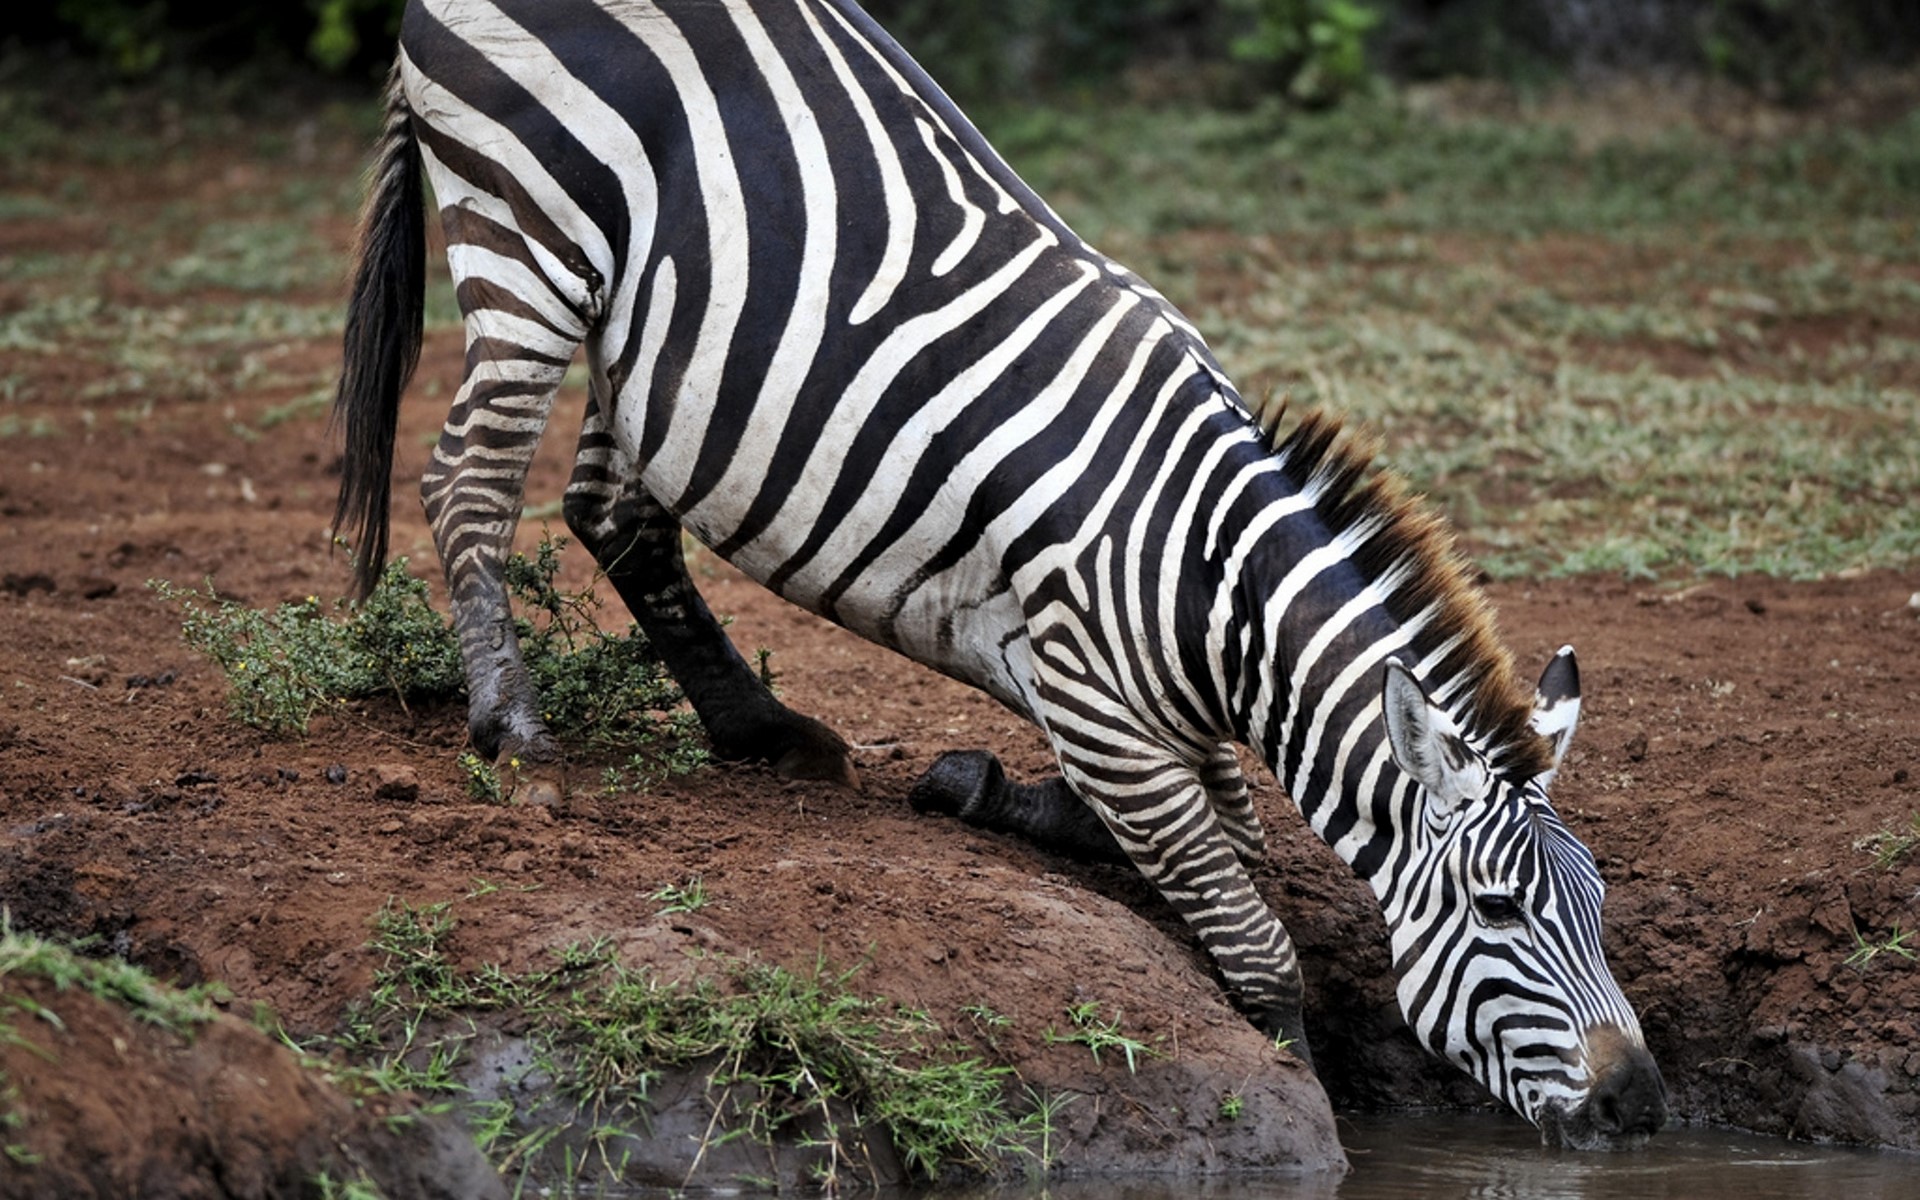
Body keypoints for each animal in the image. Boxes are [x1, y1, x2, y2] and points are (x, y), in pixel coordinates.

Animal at [332, 0, 1667, 1148]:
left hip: (641, 325)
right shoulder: (1100, 706)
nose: (1643, 1110)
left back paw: (762, 728)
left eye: (1603, 908)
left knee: (613, 510)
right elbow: (1253, 939)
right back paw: (515, 729)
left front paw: (975, 787)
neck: (1214, 588)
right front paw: (1304, 1085)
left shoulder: (1135, 718)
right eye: (1499, 912)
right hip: (529, 237)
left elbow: (1198, 835)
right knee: (467, 480)